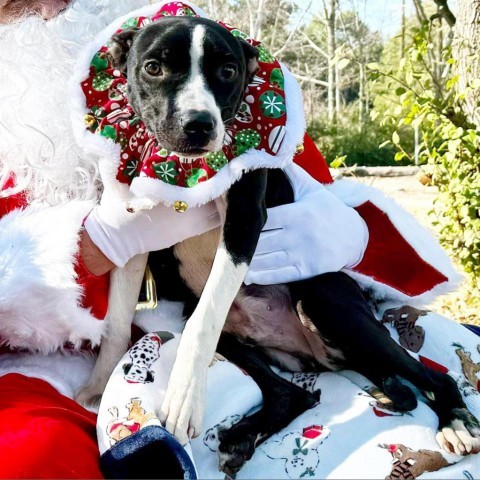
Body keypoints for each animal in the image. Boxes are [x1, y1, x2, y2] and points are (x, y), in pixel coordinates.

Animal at [75, 12, 480, 472]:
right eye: (153, 67)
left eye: (228, 71)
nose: (199, 125)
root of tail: (315, 356)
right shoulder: (131, 230)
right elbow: (117, 320)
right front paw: (99, 385)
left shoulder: (245, 219)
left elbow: (203, 321)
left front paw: (184, 396)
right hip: (239, 338)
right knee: (295, 394)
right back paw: (241, 437)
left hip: (328, 305)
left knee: (435, 378)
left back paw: (455, 423)